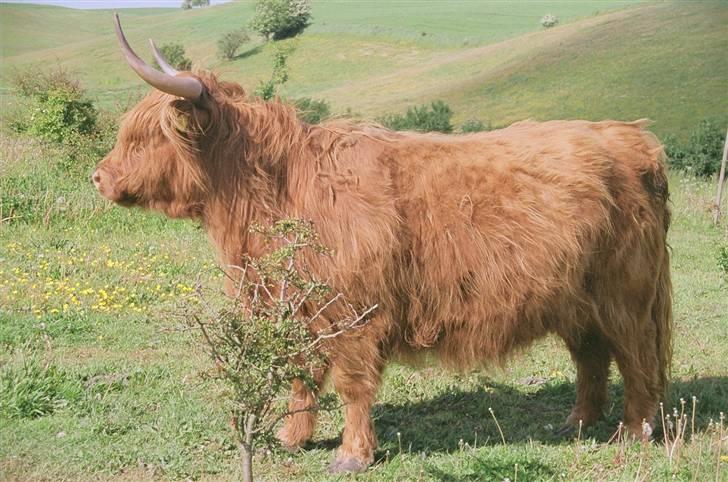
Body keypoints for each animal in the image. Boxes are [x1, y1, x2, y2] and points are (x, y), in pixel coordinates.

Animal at [93, 15, 673, 473]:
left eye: (145, 138)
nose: (99, 177)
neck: (278, 190)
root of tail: (631, 137)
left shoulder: (352, 313)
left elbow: (352, 385)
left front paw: (351, 455)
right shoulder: (299, 311)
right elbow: (303, 377)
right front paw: (291, 438)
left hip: (624, 294)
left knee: (636, 358)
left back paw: (633, 433)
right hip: (575, 299)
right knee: (591, 356)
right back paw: (576, 423)